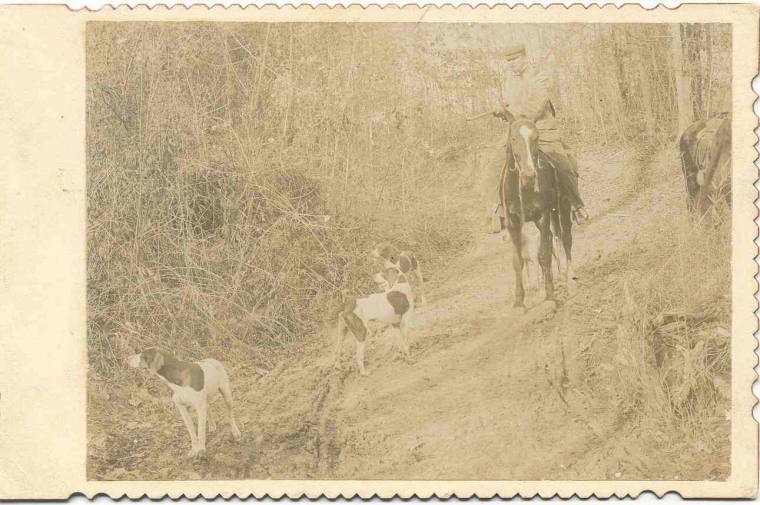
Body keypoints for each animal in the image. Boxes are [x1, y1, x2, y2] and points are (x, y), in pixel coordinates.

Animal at [496, 112, 572, 308]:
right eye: (513, 138)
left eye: (536, 137)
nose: (529, 175)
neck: (524, 189)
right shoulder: (514, 224)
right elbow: (518, 261)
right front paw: (519, 302)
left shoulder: (542, 218)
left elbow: (544, 256)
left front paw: (550, 296)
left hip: (562, 209)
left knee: (565, 239)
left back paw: (569, 277)